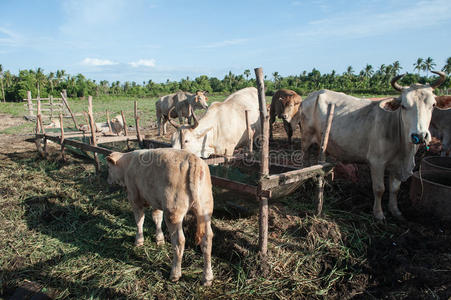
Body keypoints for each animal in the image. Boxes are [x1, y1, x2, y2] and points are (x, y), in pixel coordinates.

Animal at [300, 70, 448, 220]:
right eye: (403, 106)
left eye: (433, 105)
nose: (420, 135)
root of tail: (312, 95)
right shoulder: (377, 162)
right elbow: (379, 189)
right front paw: (378, 214)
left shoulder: (396, 164)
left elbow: (395, 189)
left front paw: (395, 211)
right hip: (306, 139)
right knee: (304, 160)